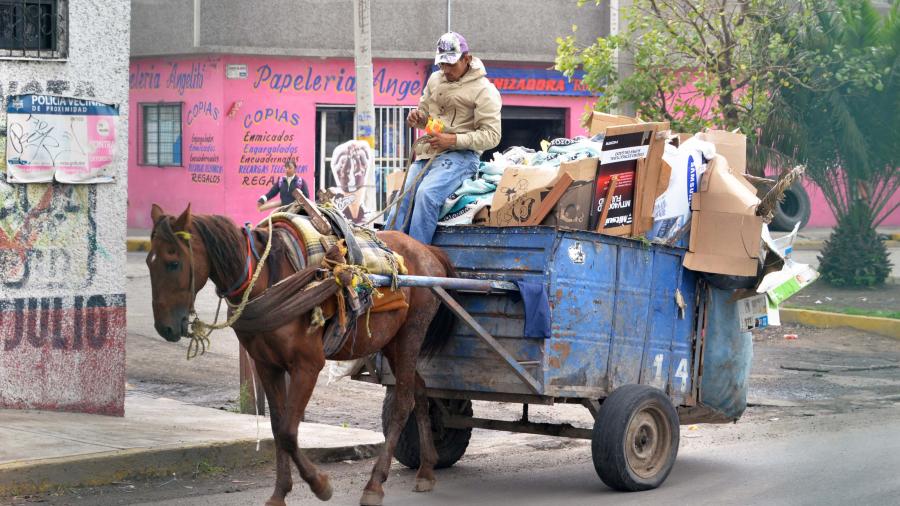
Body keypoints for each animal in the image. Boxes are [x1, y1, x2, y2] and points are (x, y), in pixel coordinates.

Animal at [149, 204, 458, 504]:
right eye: (149, 263)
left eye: (173, 263)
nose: (165, 327)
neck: (266, 277)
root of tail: (426, 250)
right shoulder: (266, 365)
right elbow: (278, 428)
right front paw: (279, 494)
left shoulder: (307, 365)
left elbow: (288, 431)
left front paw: (320, 484)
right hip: (392, 342)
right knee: (420, 390)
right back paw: (426, 469)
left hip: (411, 334)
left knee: (403, 402)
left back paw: (374, 484)